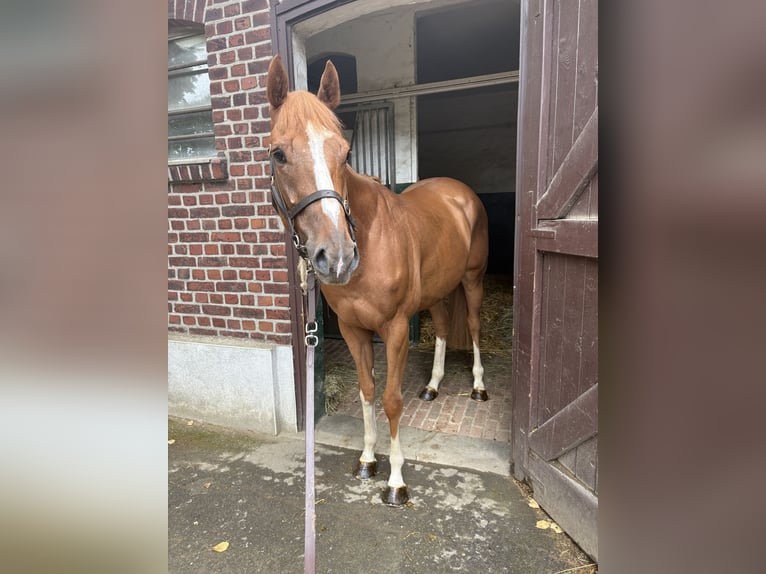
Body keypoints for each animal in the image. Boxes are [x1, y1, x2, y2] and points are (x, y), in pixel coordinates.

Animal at [266, 54, 489, 505]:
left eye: (345, 151)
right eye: (278, 153)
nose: (337, 256)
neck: (370, 238)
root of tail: (461, 193)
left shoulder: (396, 328)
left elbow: (391, 400)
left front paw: (396, 481)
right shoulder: (353, 330)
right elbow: (367, 391)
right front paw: (368, 460)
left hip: (472, 280)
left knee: (474, 326)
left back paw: (477, 387)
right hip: (438, 292)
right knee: (443, 327)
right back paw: (433, 386)